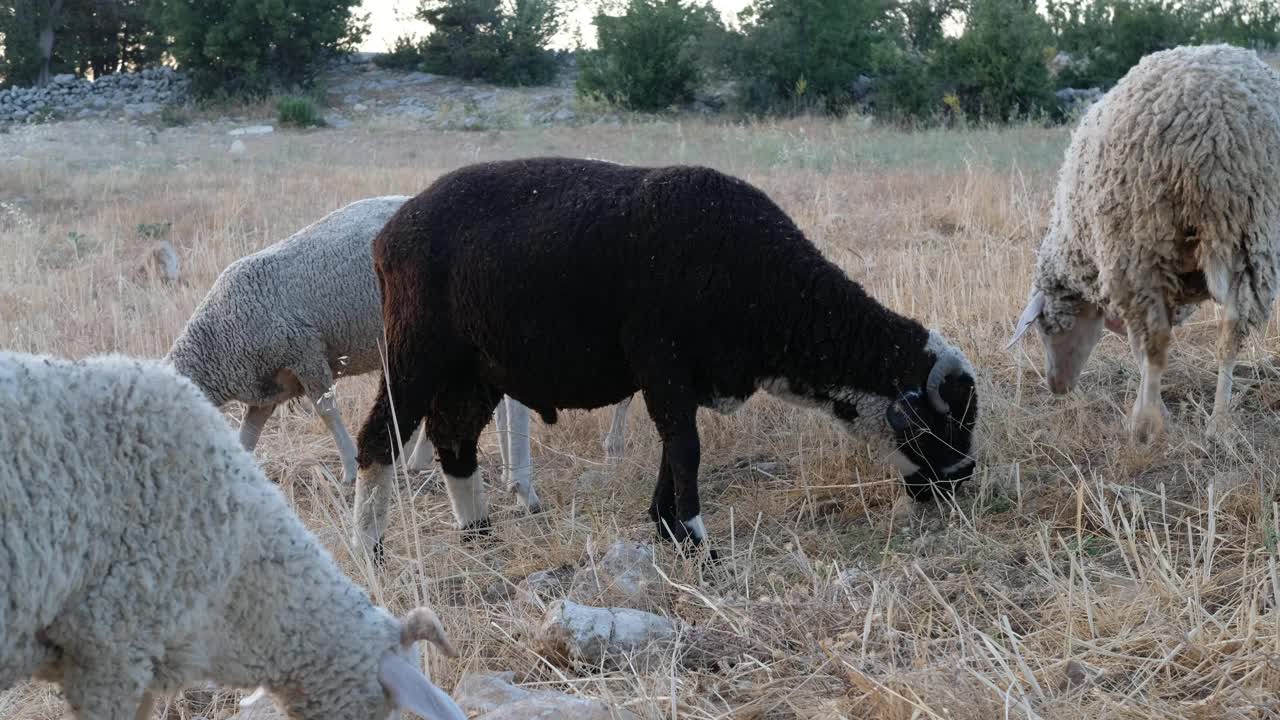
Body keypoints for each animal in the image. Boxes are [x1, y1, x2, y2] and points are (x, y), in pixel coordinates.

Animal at [167, 194, 632, 509]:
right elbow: (248, 435)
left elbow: (327, 410)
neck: (215, 341)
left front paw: (350, 469)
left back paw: (517, 481)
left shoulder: (305, 352)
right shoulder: (268, 390)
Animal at [350, 156, 977, 556]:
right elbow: (687, 448)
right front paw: (698, 540)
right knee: (378, 440)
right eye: (938, 423)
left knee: (454, 441)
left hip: (474, 370)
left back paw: (478, 533)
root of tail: (389, 234)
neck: (767, 284)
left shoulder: (683, 380)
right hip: (414, 353)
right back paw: (369, 548)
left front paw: (668, 528)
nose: (959, 485)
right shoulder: (663, 363)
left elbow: (672, 450)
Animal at [1008, 43, 1280, 443]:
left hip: (1140, 240)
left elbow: (1139, 348)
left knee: (1154, 341)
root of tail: (1215, 127)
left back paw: (1145, 425)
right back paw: (1219, 422)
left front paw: (1151, 408)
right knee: (1231, 331)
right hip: (1253, 230)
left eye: (1045, 327)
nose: (1056, 387)